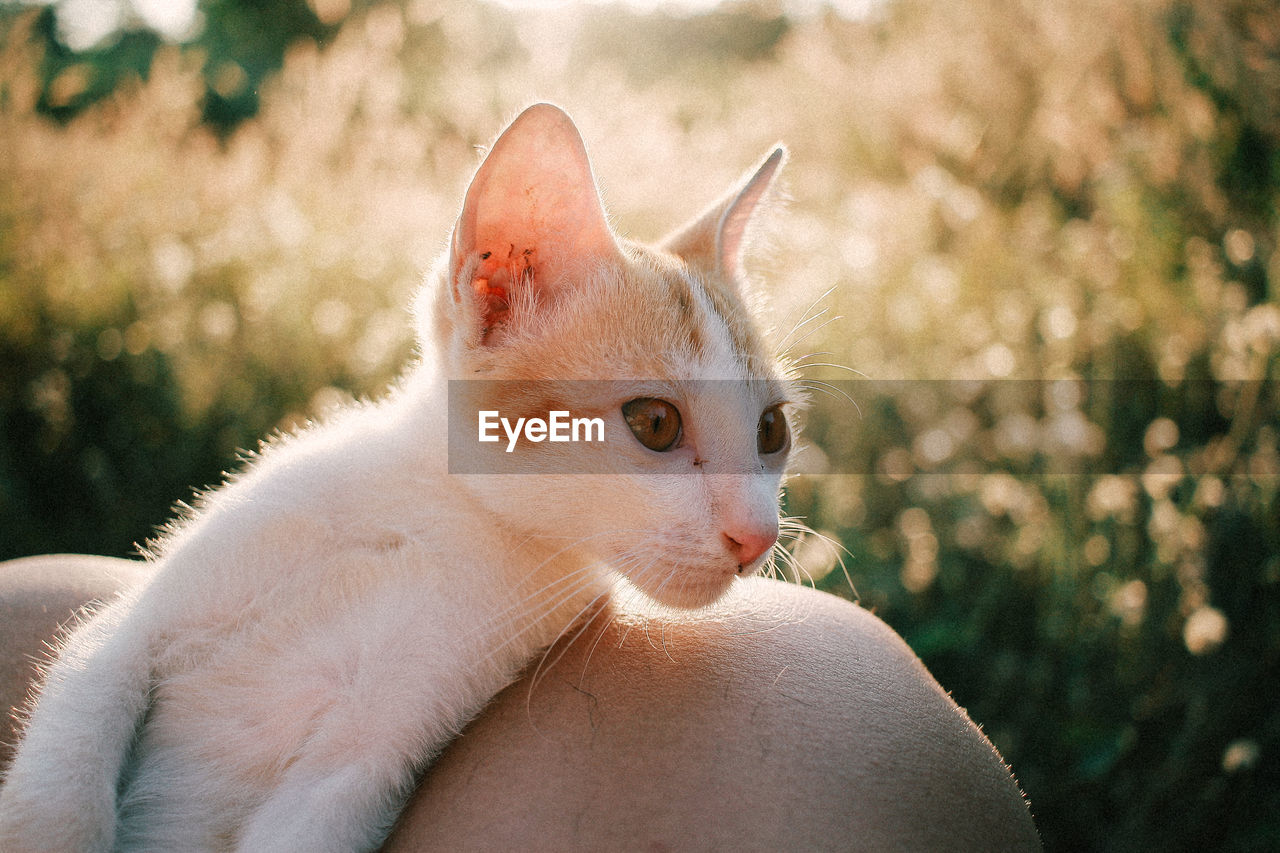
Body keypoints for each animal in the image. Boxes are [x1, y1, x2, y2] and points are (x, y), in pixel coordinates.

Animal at [0, 104, 798, 850]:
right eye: (655, 422)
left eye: (771, 431)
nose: (757, 537)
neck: (434, 513)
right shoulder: (125, 631)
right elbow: (62, 773)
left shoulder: (364, 758)